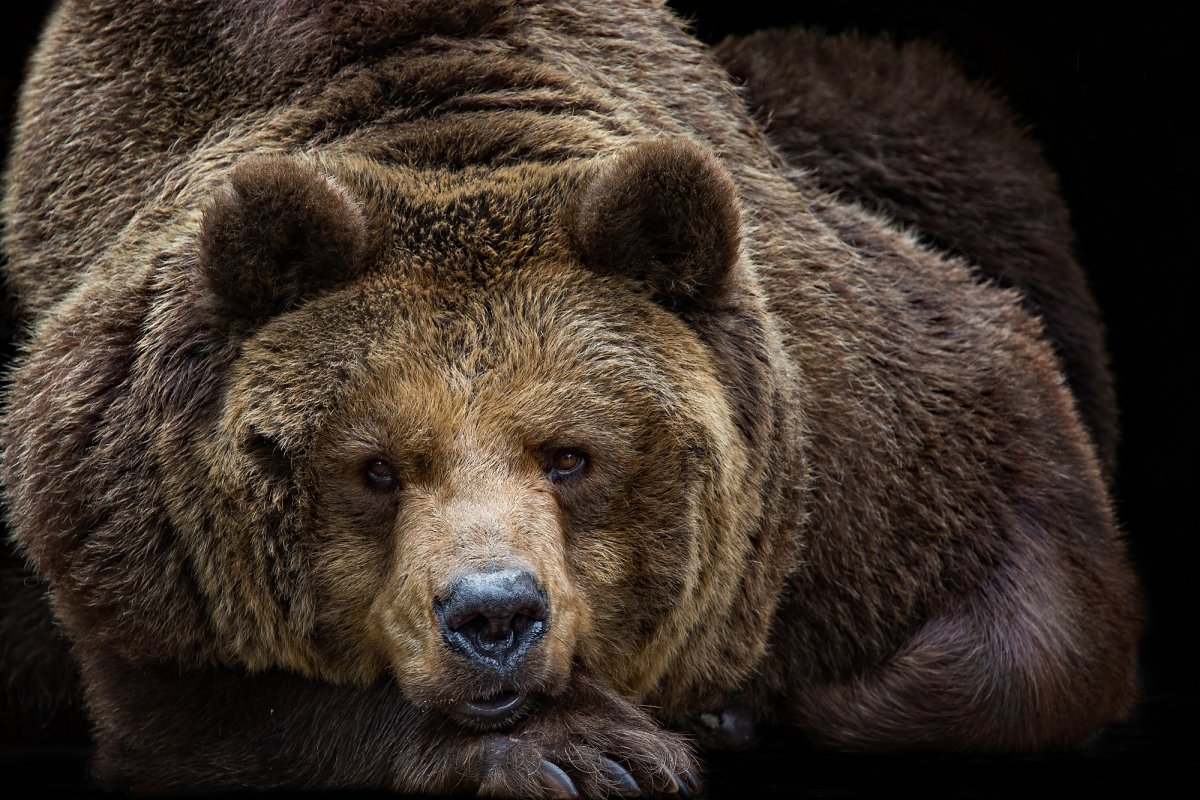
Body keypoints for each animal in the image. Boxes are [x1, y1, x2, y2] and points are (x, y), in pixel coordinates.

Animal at [0, 1, 1141, 797]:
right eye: (373, 469)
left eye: (572, 455)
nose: (493, 613)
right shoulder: (121, 511)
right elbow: (201, 706)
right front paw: (585, 747)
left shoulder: (853, 438)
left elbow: (1033, 568)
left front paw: (763, 705)